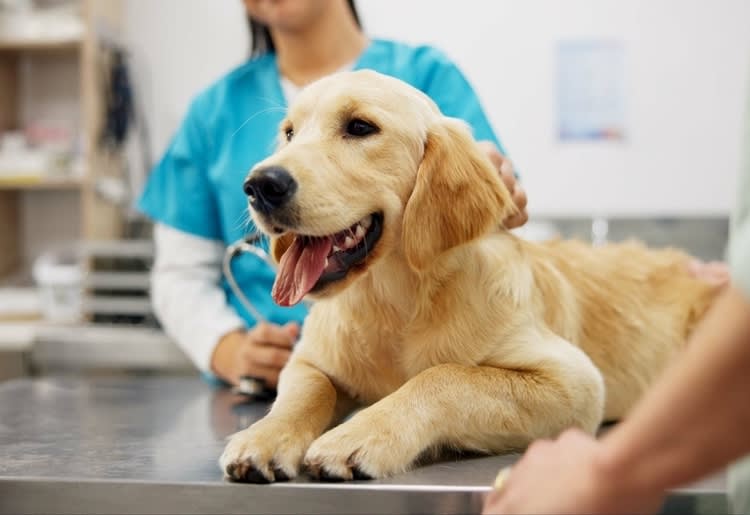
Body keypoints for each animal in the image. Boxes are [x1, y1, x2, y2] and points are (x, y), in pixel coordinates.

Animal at [219, 69, 724, 484]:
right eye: (289, 133)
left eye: (360, 127)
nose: (260, 185)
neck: (396, 302)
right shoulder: (308, 360)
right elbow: (303, 393)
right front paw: (264, 436)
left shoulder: (575, 383)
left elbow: (446, 376)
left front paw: (358, 436)